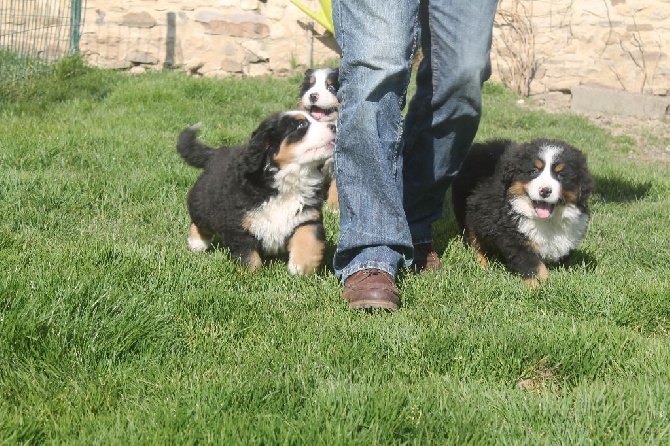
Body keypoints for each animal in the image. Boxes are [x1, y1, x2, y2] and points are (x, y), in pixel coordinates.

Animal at [177, 110, 336, 276]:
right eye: (301, 124)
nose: (334, 127)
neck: (286, 181)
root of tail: (216, 153)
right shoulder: (238, 223)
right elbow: (248, 255)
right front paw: (249, 275)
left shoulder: (307, 216)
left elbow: (309, 240)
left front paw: (300, 269)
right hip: (205, 204)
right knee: (199, 221)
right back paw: (197, 243)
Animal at [454, 138, 596, 288]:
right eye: (534, 171)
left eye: (561, 175)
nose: (545, 191)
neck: (547, 220)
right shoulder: (512, 234)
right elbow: (531, 262)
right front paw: (538, 285)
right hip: (468, 210)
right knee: (473, 239)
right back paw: (482, 263)